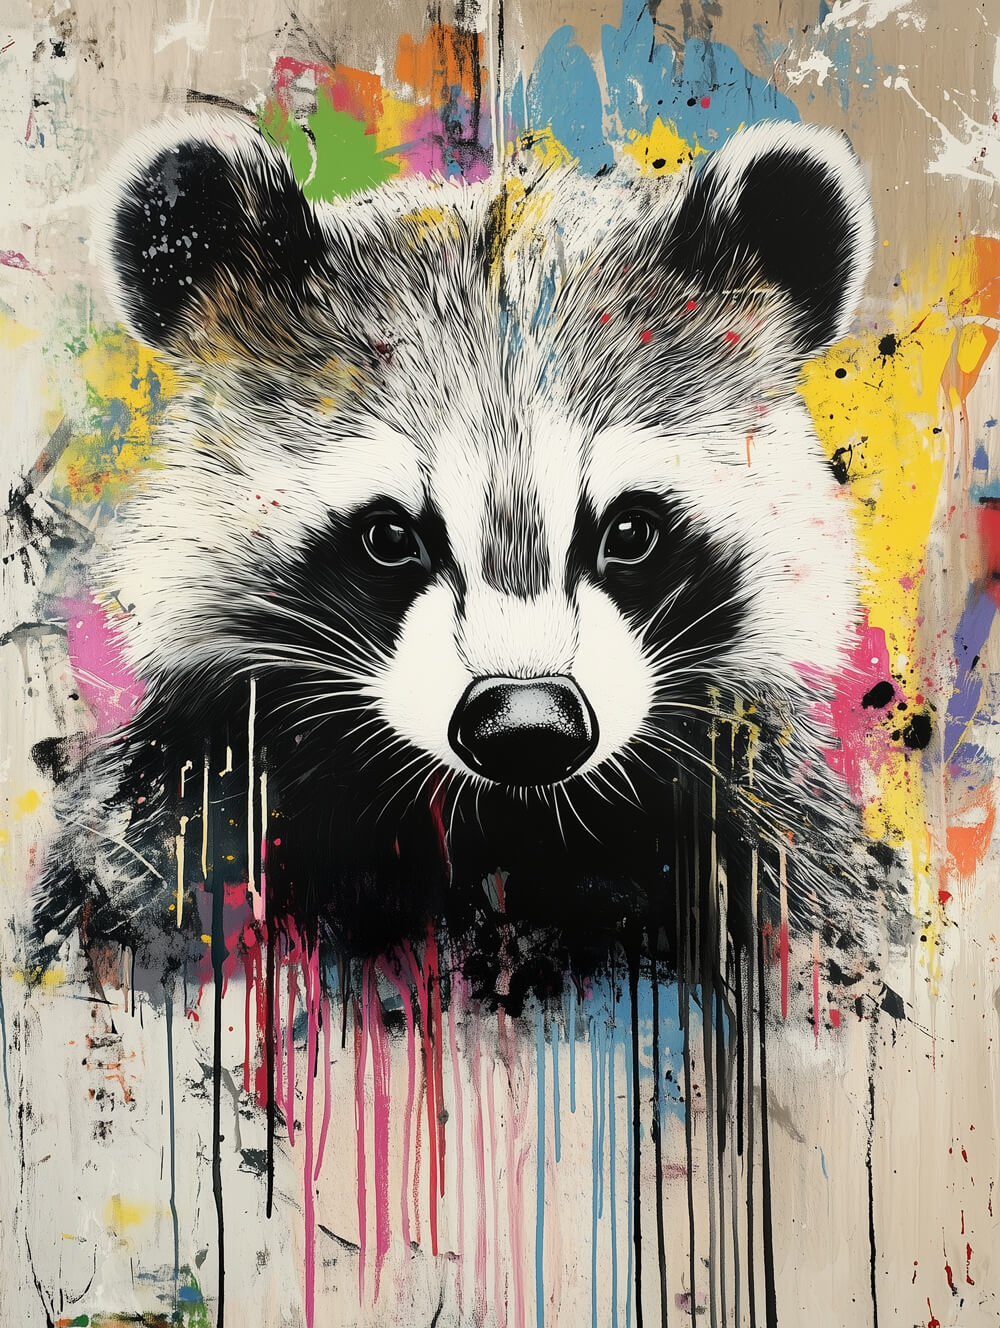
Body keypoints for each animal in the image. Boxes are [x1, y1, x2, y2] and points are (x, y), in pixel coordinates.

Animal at [37, 114, 888, 1000]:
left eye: (630, 532)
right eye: (389, 537)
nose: (526, 723)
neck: (507, 825)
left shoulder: (756, 828)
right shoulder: (196, 806)